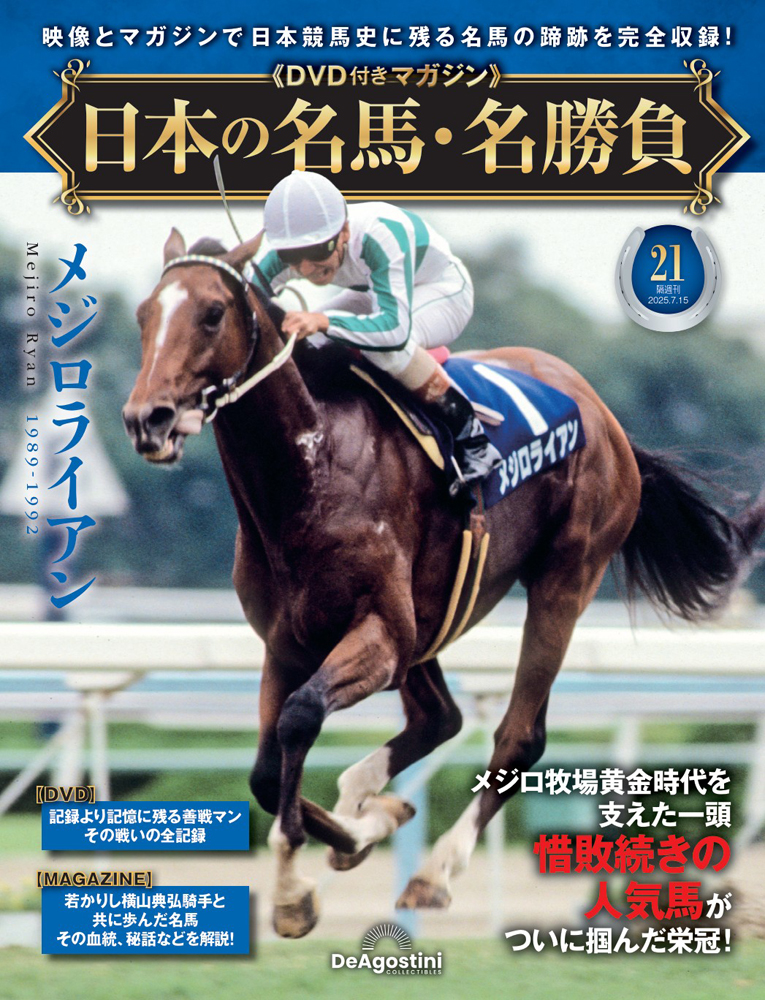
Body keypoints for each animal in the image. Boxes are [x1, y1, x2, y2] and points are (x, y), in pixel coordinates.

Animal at [123, 229, 765, 939]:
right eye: (144, 315)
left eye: (212, 313)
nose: (147, 419)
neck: (309, 474)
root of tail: (604, 414)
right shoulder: (288, 643)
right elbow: (267, 772)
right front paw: (352, 837)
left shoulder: (379, 632)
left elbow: (300, 718)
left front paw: (296, 888)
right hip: (431, 620)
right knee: (441, 717)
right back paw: (369, 800)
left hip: (565, 578)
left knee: (517, 735)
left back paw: (433, 871)